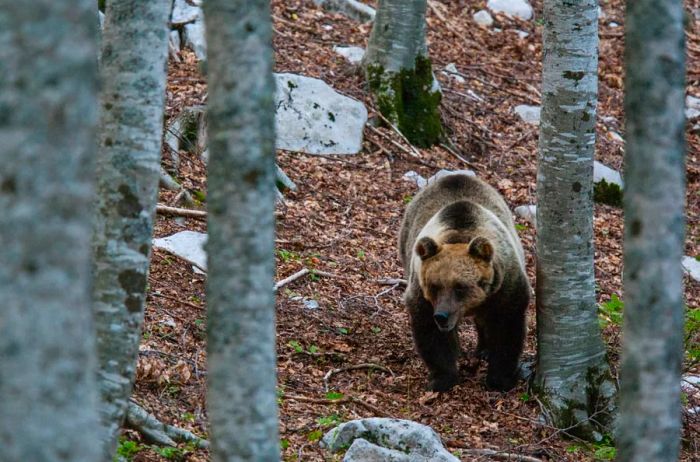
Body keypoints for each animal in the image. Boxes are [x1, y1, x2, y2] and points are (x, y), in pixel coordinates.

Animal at [396, 173, 528, 390]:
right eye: (434, 286)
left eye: (460, 287)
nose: (441, 316)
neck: (460, 235)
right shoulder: (422, 294)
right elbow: (432, 333)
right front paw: (442, 378)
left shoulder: (505, 286)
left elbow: (506, 328)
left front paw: (500, 379)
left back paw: (483, 349)